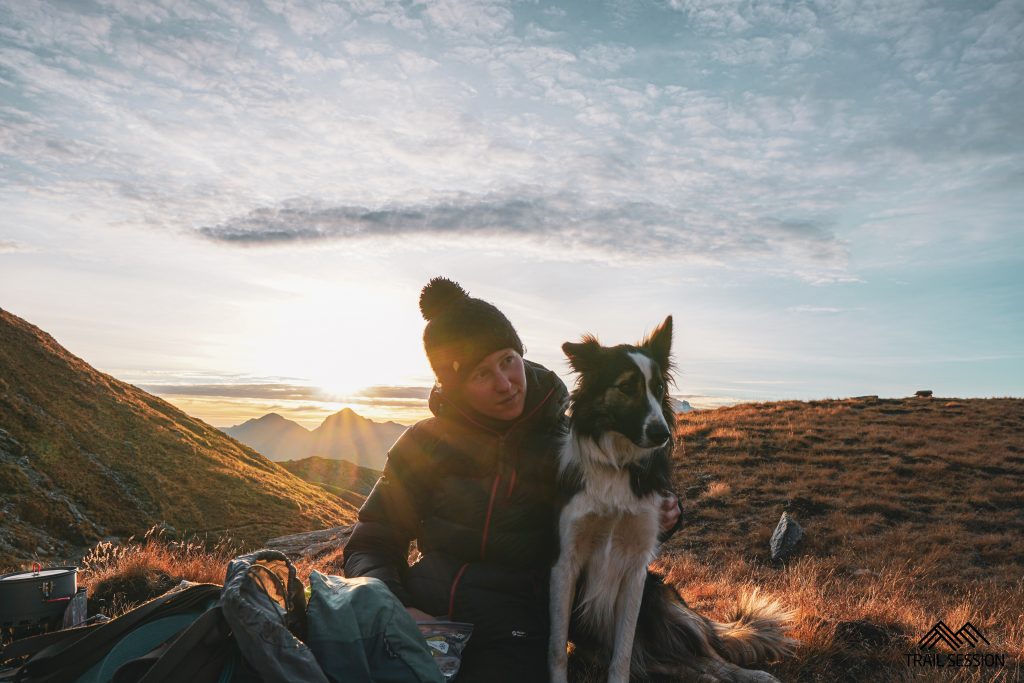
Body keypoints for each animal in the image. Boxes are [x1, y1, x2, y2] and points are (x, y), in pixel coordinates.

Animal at [552, 319, 790, 683]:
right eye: (626, 387)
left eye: (660, 387)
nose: (661, 434)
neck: (619, 465)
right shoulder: (567, 562)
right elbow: (557, 652)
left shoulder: (637, 569)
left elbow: (622, 656)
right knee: (686, 665)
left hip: (662, 599)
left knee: (708, 655)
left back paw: (751, 675)